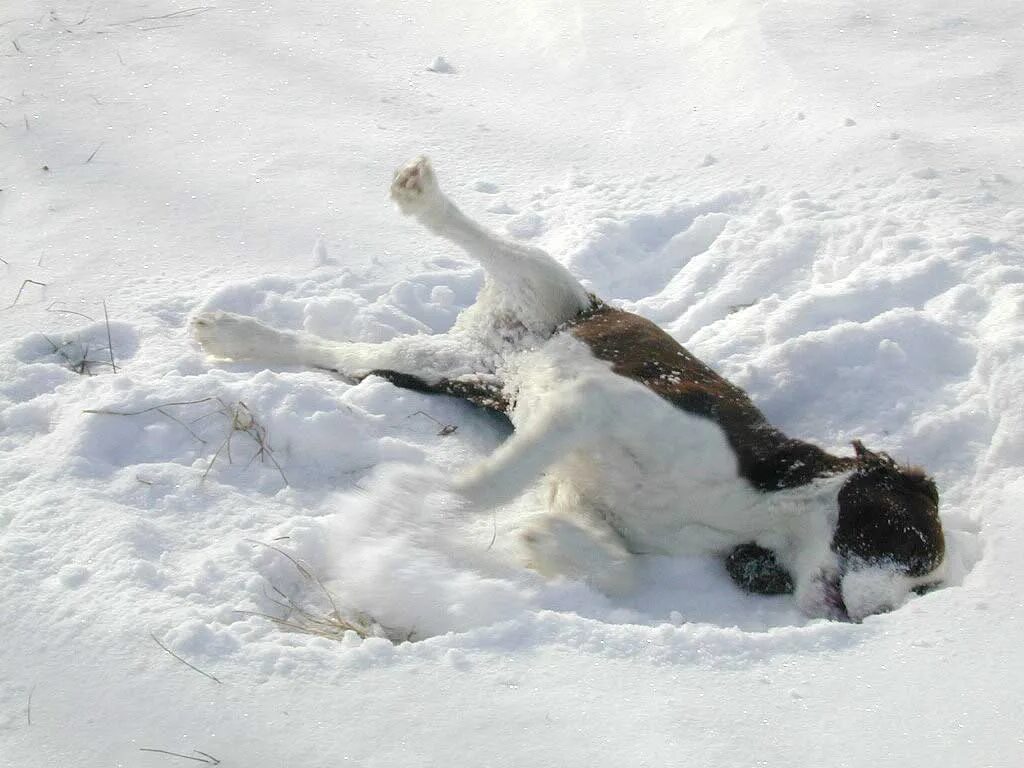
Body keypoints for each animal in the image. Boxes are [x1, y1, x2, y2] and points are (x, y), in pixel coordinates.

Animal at [192, 156, 942, 626]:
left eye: (925, 586)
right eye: (911, 550)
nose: (883, 615)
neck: (764, 506)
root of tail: (501, 342)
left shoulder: (585, 492)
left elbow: (617, 568)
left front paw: (543, 542)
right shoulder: (595, 405)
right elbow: (485, 486)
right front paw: (421, 500)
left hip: (434, 366)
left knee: (338, 352)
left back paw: (229, 334)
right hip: (551, 289)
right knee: (490, 242)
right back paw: (419, 195)